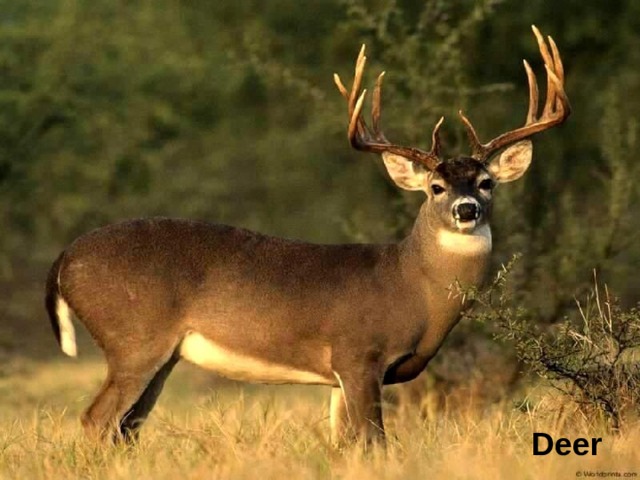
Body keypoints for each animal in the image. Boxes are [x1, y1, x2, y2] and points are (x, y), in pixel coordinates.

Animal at [45, 26, 569, 447]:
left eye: (486, 182)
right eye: (436, 187)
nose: (466, 210)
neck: (412, 287)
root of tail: (64, 260)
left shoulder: (339, 378)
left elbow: (345, 446)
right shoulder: (359, 353)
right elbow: (375, 442)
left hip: (161, 355)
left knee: (126, 429)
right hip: (134, 340)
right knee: (96, 420)